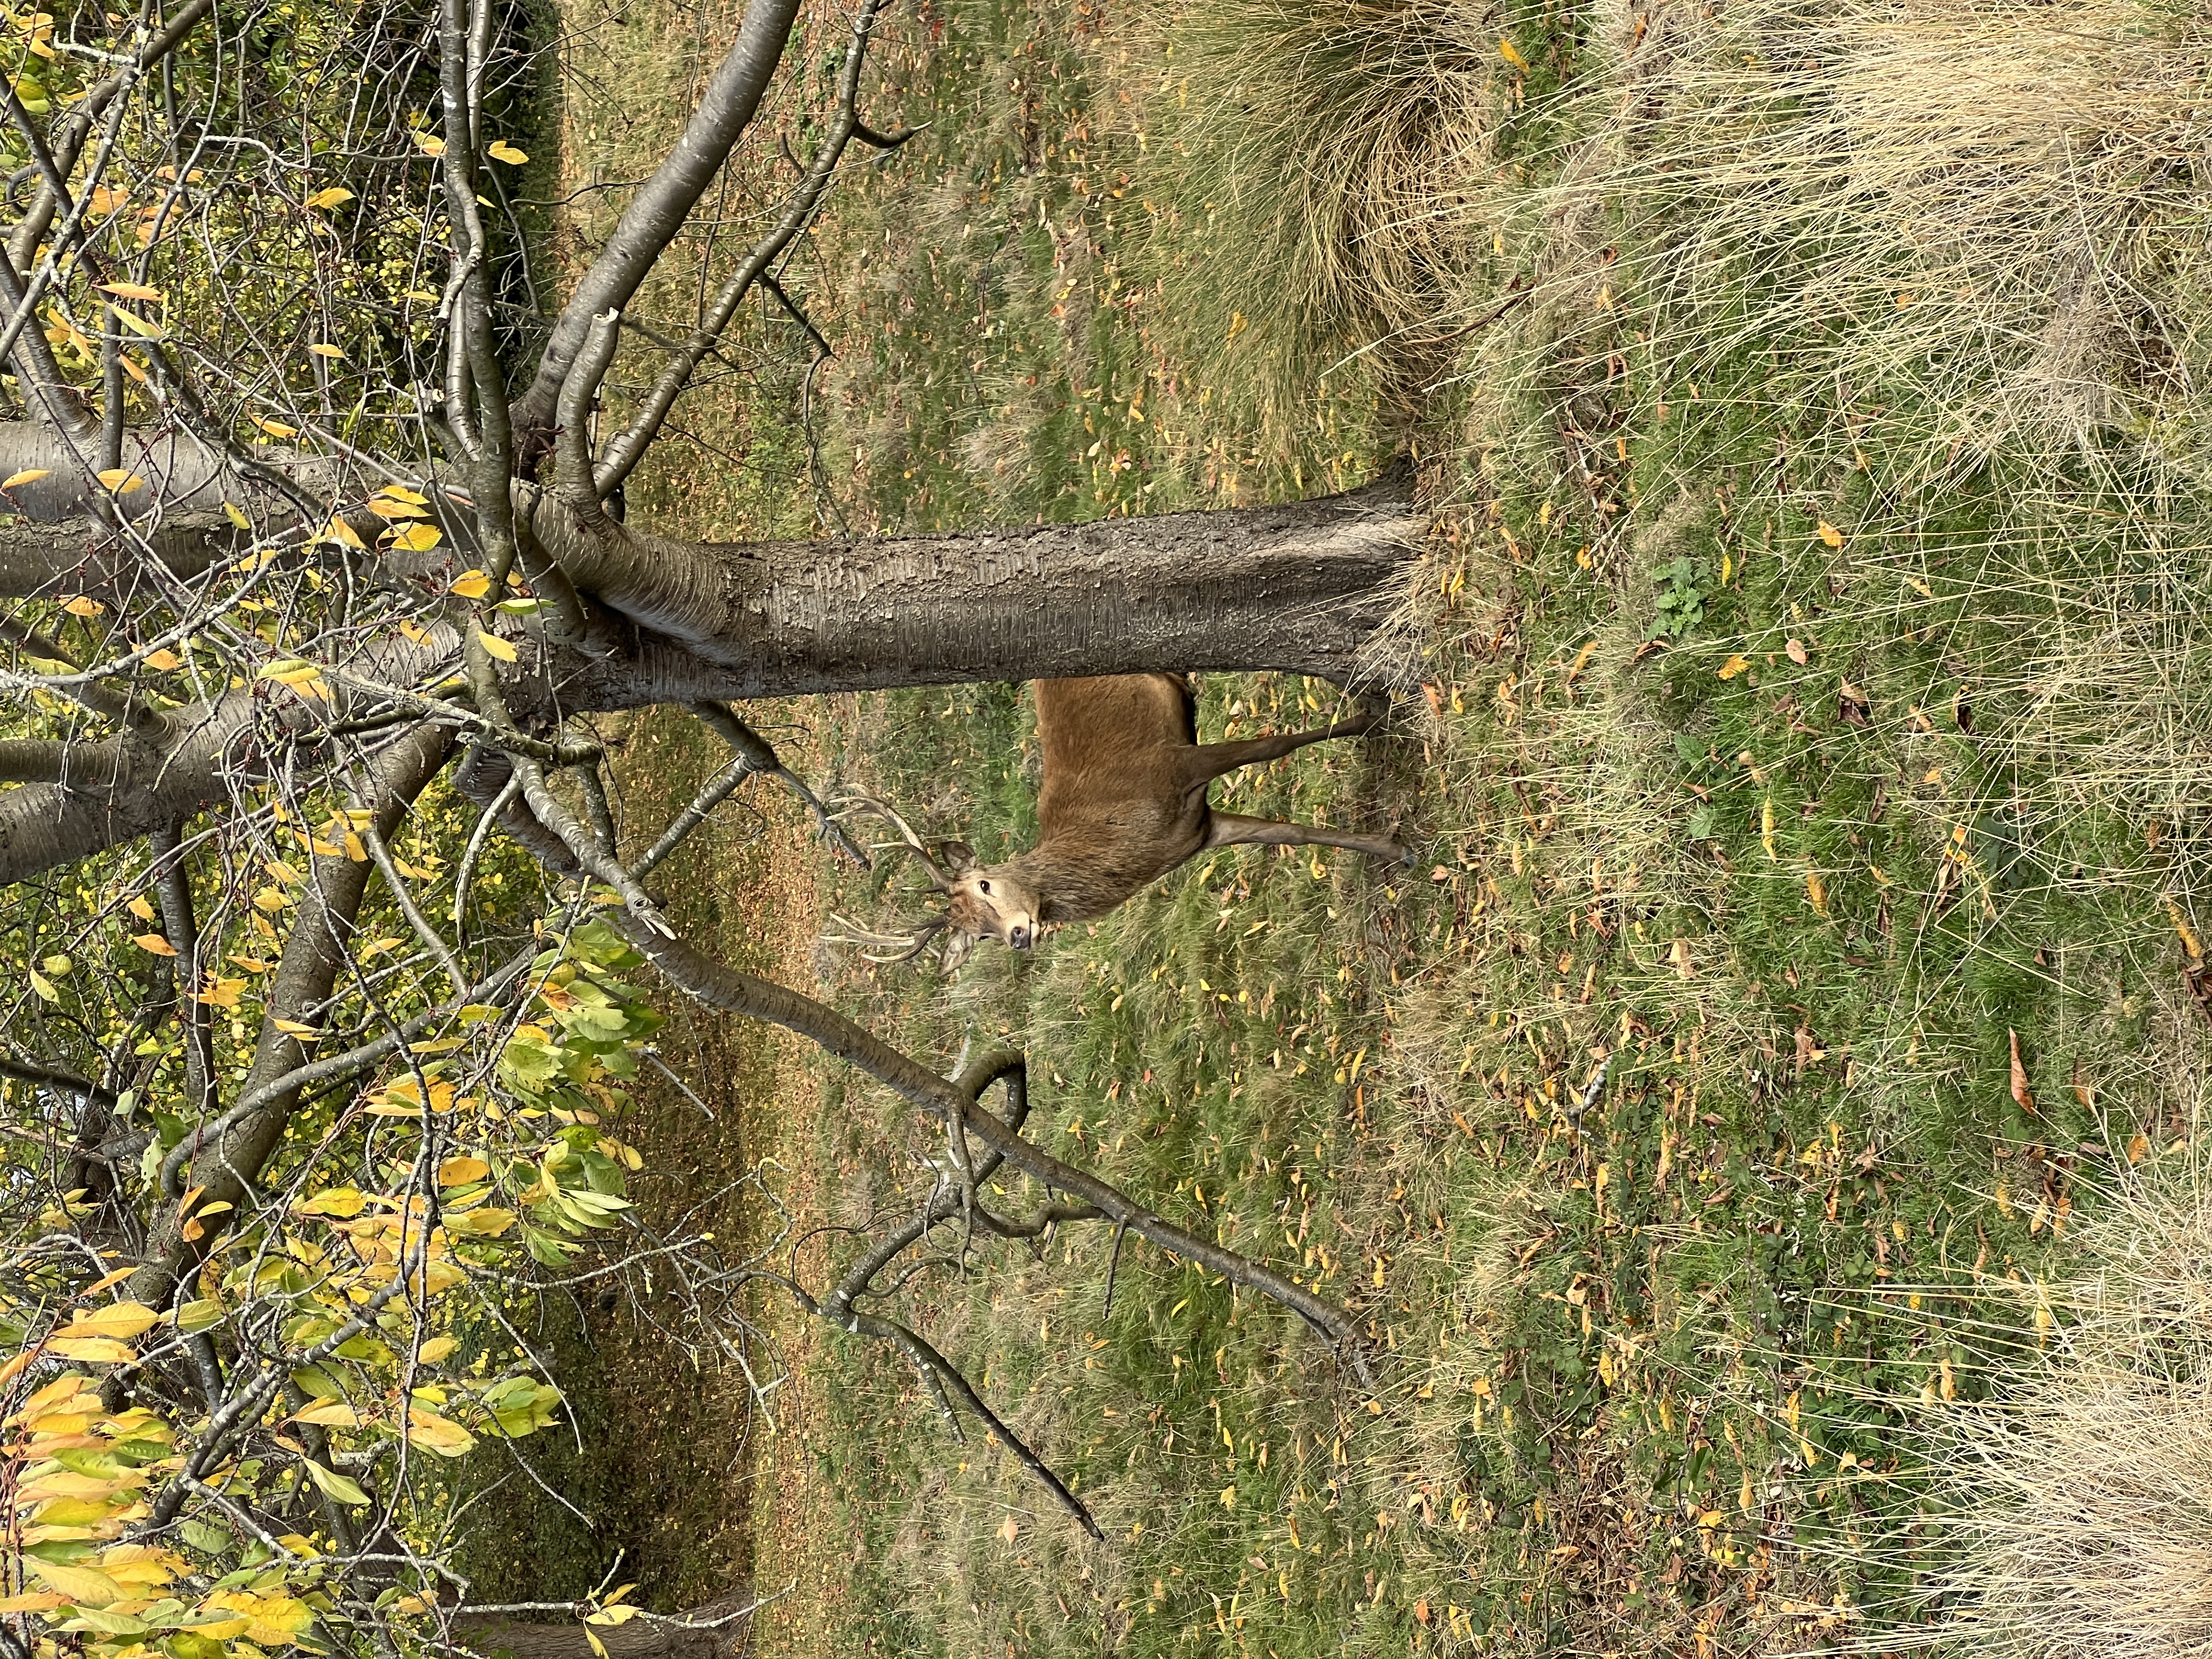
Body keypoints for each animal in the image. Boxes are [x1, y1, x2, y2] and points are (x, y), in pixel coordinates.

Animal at [833, 673, 1410, 965]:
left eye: (986, 884)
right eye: (979, 936)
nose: (1019, 935)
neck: (1131, 844)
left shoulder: (1170, 766)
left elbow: (1276, 745)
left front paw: (1371, 716)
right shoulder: (1201, 831)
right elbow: (1294, 833)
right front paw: (1396, 849)